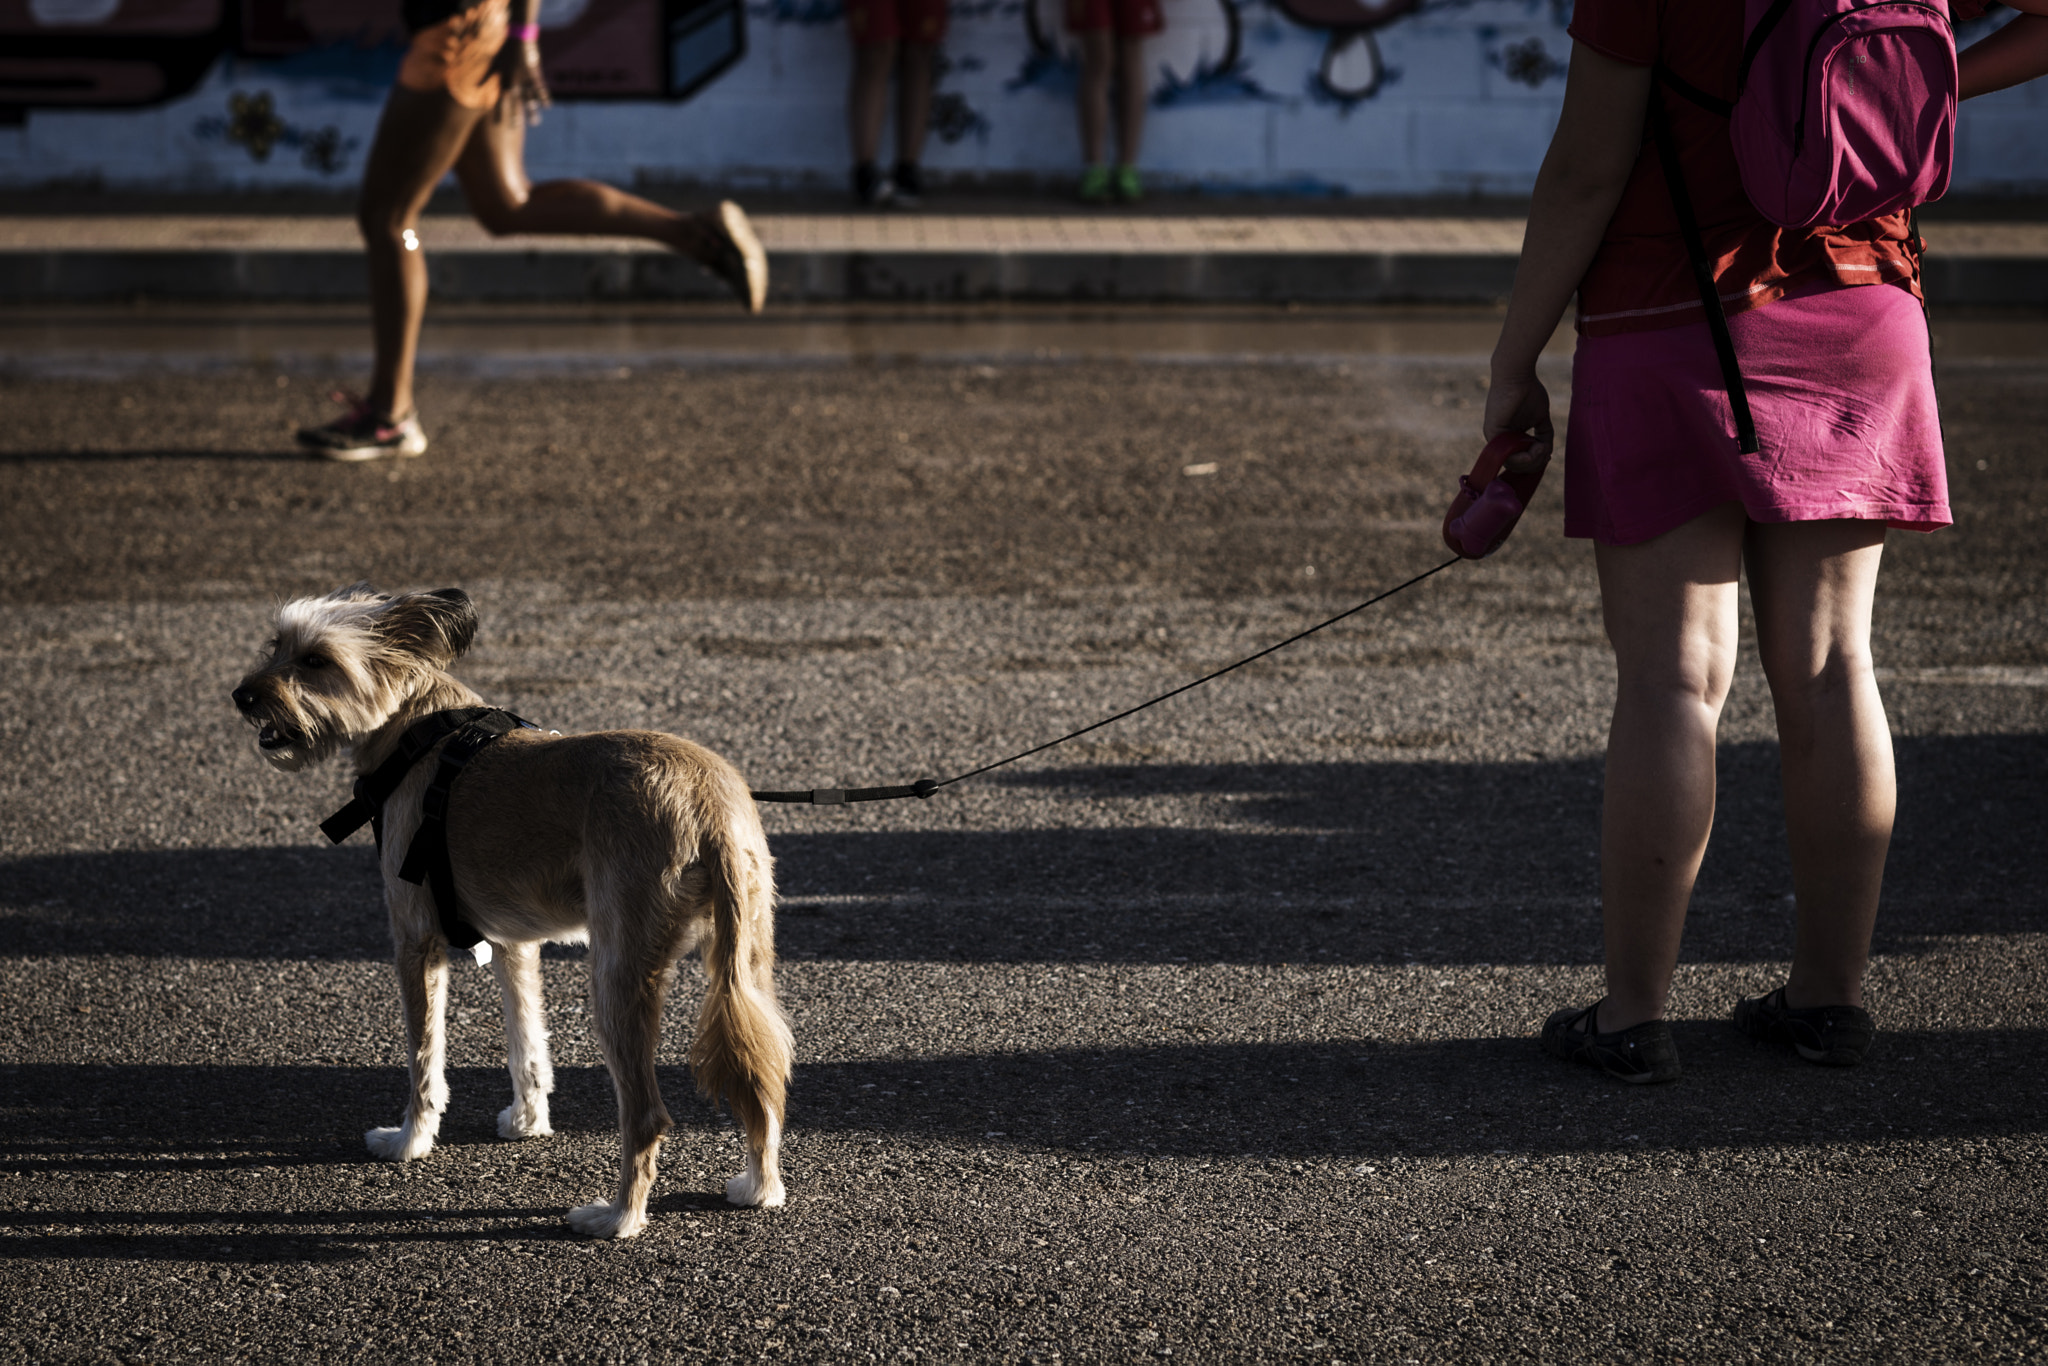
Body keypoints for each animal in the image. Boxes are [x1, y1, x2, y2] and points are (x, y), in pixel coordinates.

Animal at [230, 581, 790, 1245]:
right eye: (276, 644)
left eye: (316, 660)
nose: (242, 696)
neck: (418, 731)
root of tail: (707, 803)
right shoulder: (513, 942)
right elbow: (527, 1043)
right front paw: (528, 1120)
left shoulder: (415, 940)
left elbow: (424, 1060)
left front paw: (410, 1140)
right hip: (745, 962)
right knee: (762, 1076)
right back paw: (759, 1186)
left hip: (617, 972)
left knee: (647, 1114)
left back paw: (619, 1218)